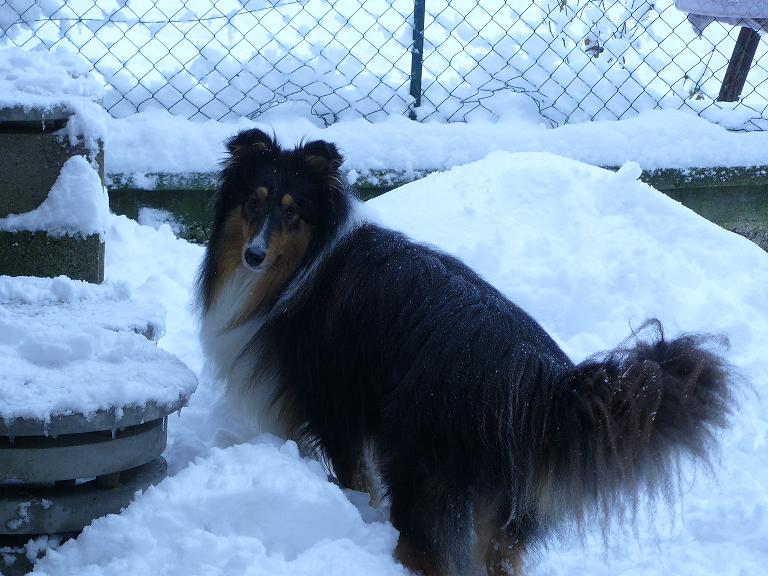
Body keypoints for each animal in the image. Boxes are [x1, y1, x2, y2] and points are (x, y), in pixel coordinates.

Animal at [196, 127, 732, 576]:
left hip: (421, 471)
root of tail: (540, 381)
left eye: (292, 210)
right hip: (506, 508)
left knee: (427, 551)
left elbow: (355, 481)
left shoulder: (335, 411)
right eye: (253, 202)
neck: (303, 266)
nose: (253, 255)